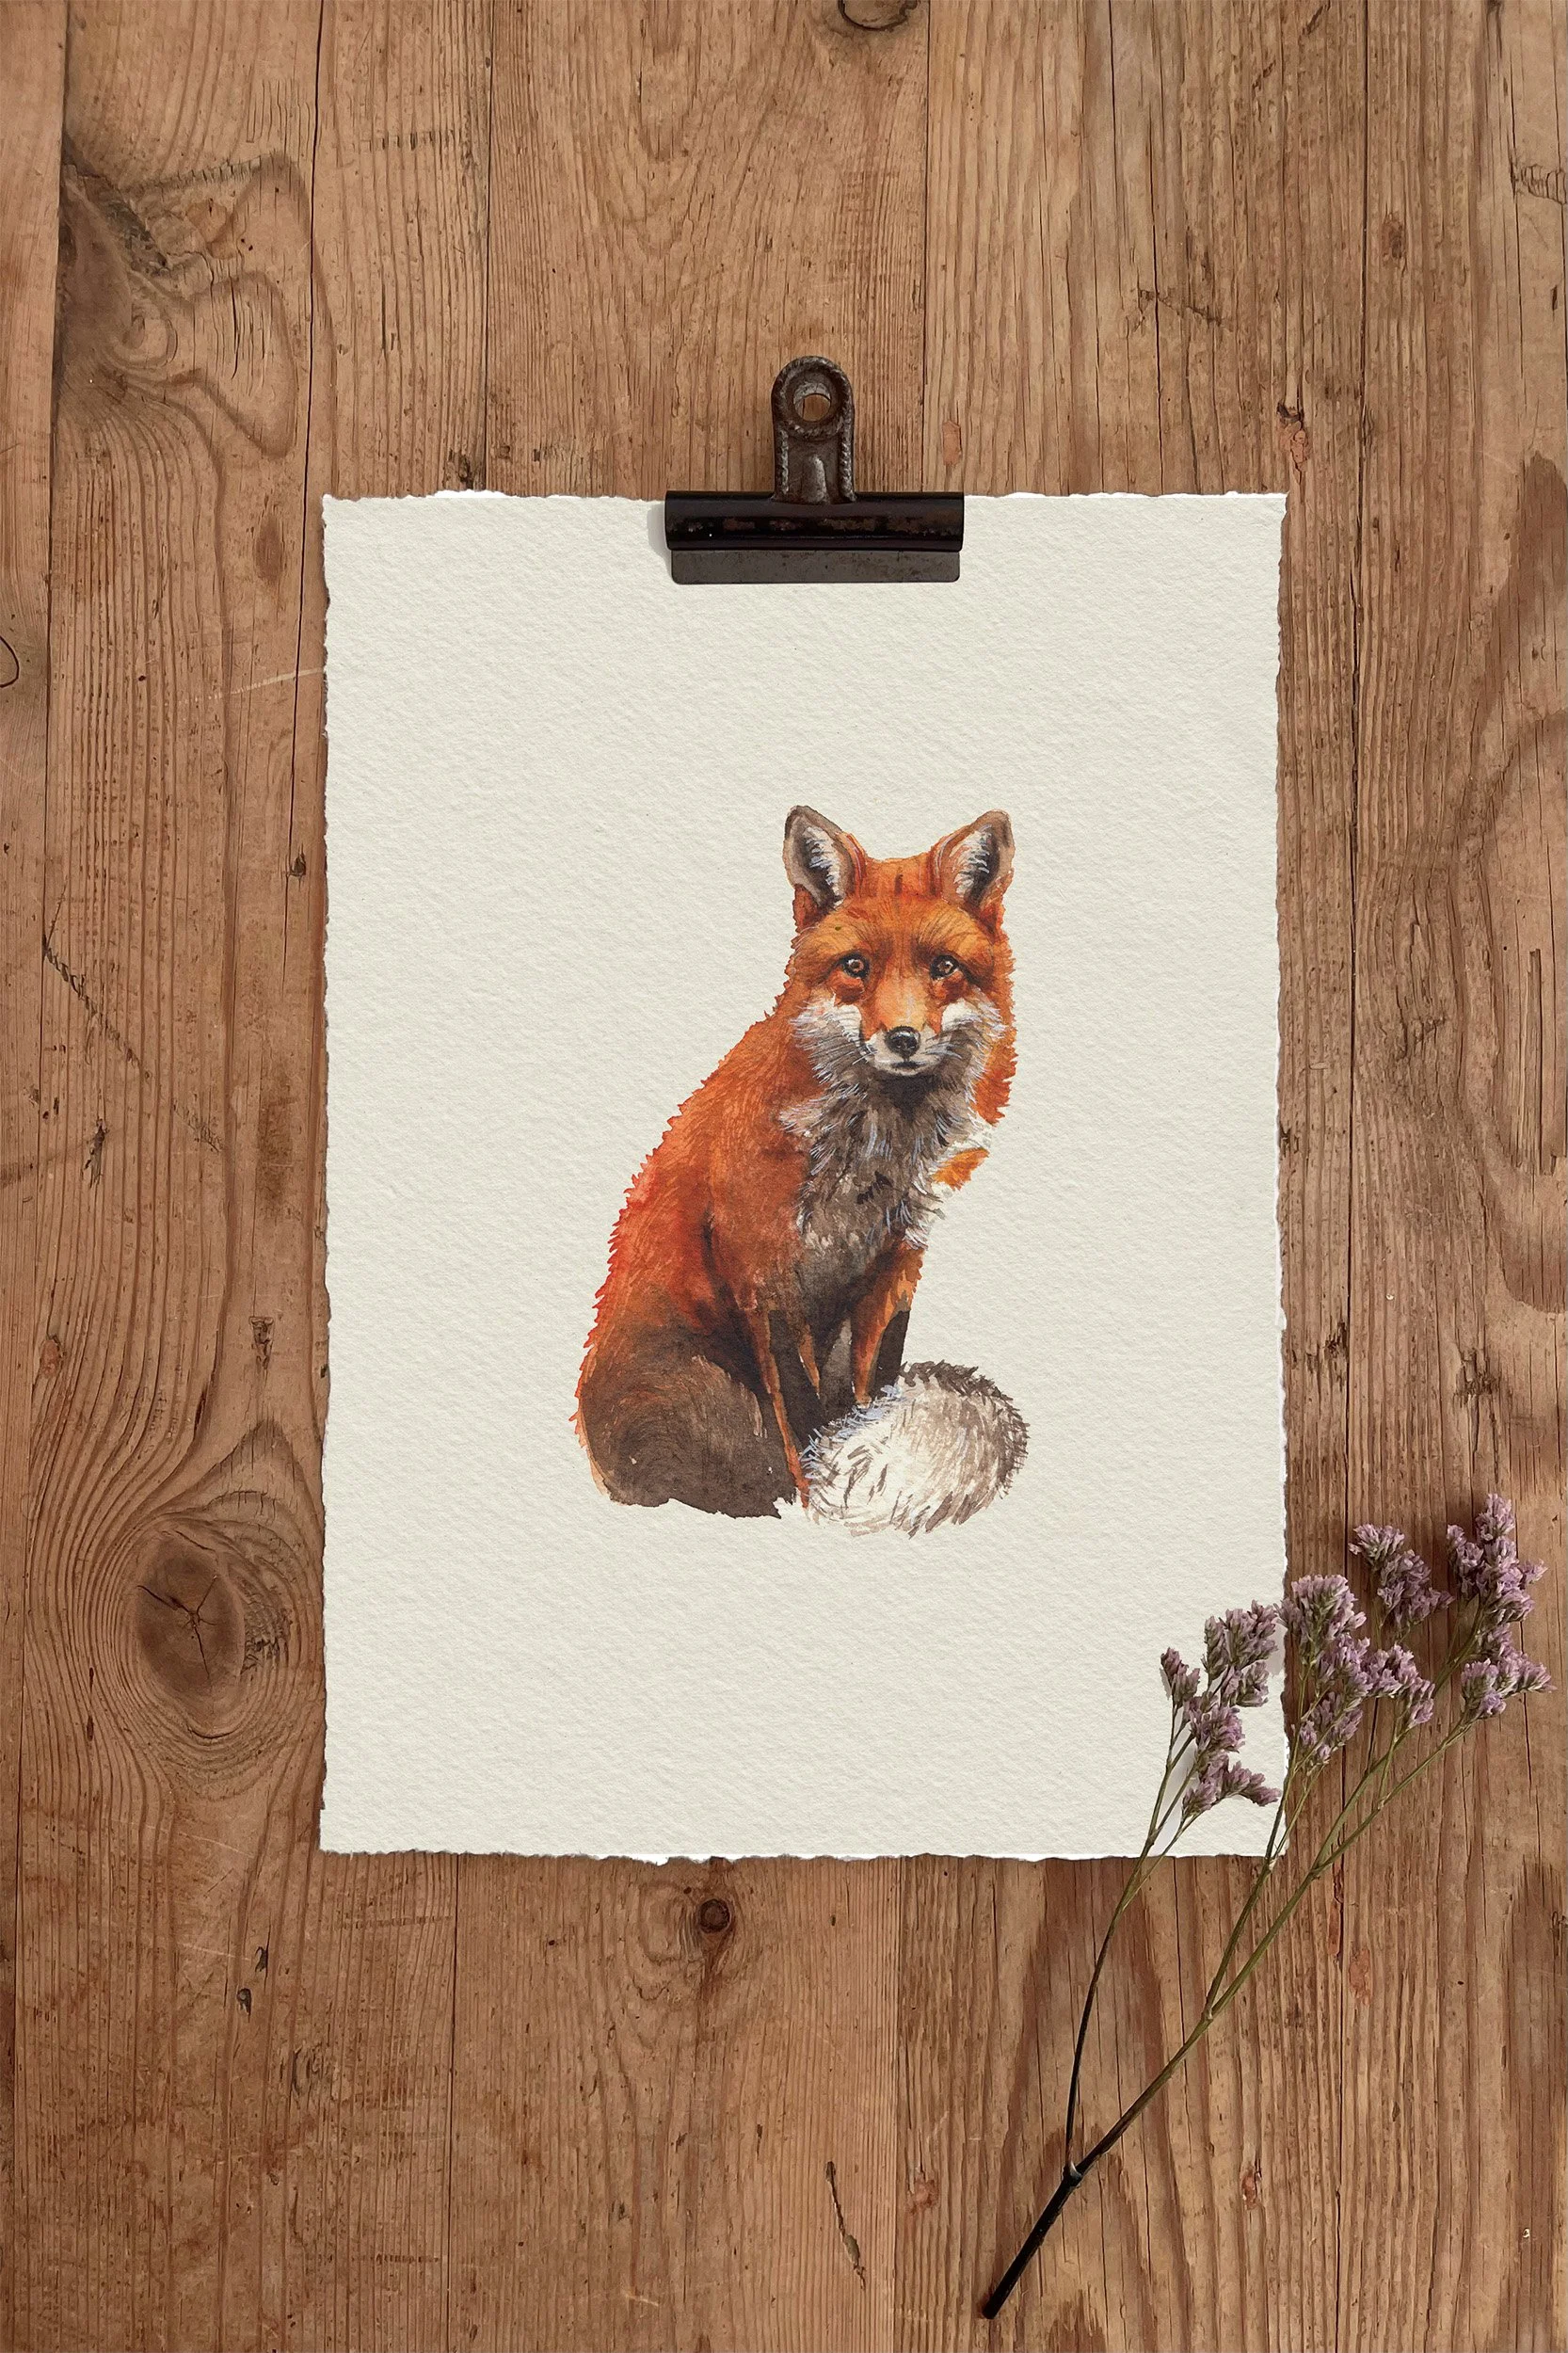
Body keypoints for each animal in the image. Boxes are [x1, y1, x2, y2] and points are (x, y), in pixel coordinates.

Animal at [575, 804, 1027, 1534]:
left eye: (944, 967)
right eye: (855, 966)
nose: (903, 1039)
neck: (867, 1157)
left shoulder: (894, 1266)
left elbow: (870, 1393)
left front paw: (858, 1467)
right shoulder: (768, 1277)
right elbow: (803, 1415)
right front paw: (820, 1500)